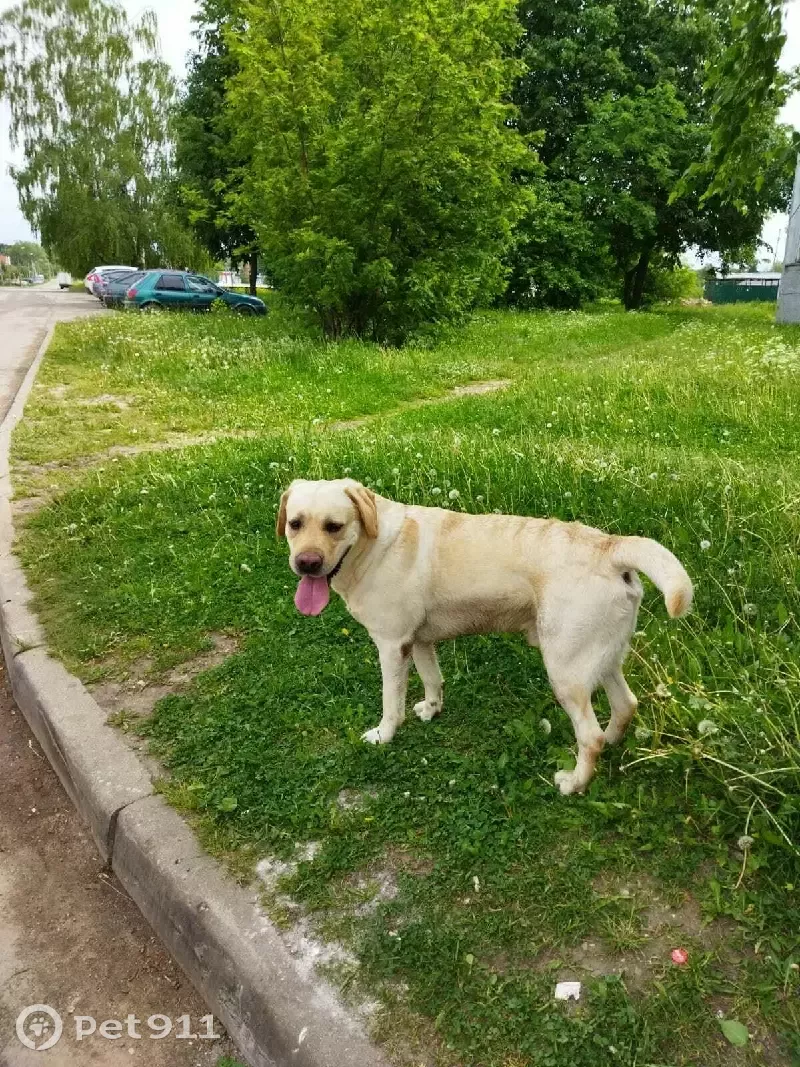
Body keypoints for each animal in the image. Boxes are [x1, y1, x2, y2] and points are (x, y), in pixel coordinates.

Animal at [279, 480, 691, 798]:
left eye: (334, 526)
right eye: (295, 524)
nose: (307, 564)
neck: (374, 543)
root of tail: (611, 547)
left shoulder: (392, 645)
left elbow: (390, 703)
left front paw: (384, 735)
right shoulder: (419, 640)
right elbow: (433, 679)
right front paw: (432, 709)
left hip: (565, 671)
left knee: (588, 736)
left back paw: (575, 782)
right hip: (602, 657)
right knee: (626, 705)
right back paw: (611, 743)